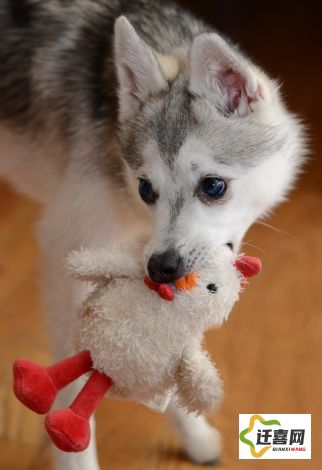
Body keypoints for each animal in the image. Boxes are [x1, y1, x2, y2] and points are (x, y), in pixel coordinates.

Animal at [0, 0, 304, 470]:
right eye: (145, 189)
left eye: (213, 186)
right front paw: (75, 457)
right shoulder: (68, 251)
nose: (161, 268)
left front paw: (191, 432)